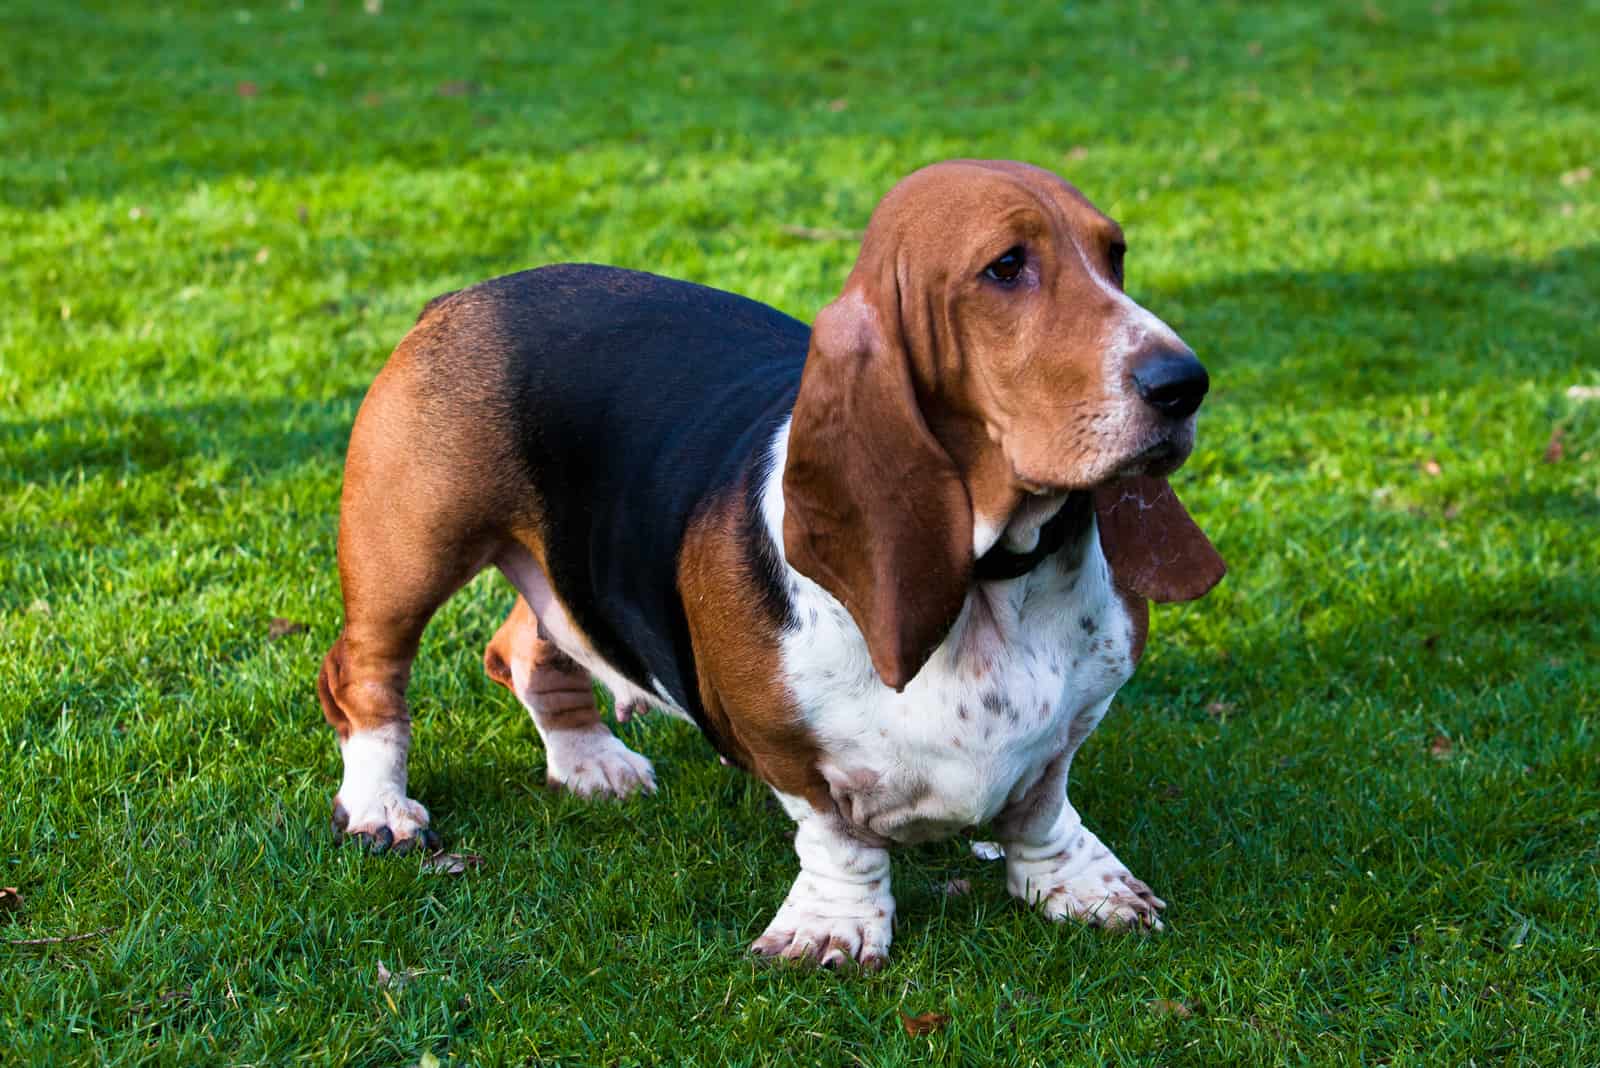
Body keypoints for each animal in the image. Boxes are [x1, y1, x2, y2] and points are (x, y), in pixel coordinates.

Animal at [315, 158, 1222, 965]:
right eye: (1006, 267)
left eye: (1115, 254)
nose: (1185, 383)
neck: (995, 574)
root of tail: (464, 295)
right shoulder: (784, 745)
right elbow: (837, 837)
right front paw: (834, 928)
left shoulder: (1077, 718)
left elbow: (1041, 806)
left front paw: (1080, 884)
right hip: (411, 551)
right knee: (363, 673)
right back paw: (380, 806)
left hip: (559, 557)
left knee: (524, 645)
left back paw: (589, 760)